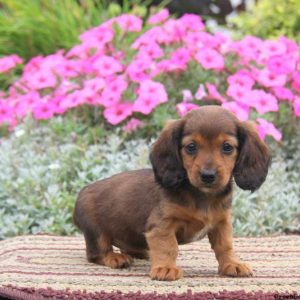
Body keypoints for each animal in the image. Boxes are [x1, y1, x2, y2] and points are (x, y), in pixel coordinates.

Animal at [74, 105, 270, 282]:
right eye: (191, 147)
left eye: (227, 147)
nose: (208, 176)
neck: (202, 196)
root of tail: (82, 193)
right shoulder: (162, 224)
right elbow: (168, 246)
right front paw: (165, 268)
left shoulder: (222, 223)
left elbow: (225, 245)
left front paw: (232, 264)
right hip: (96, 232)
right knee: (96, 254)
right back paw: (114, 257)